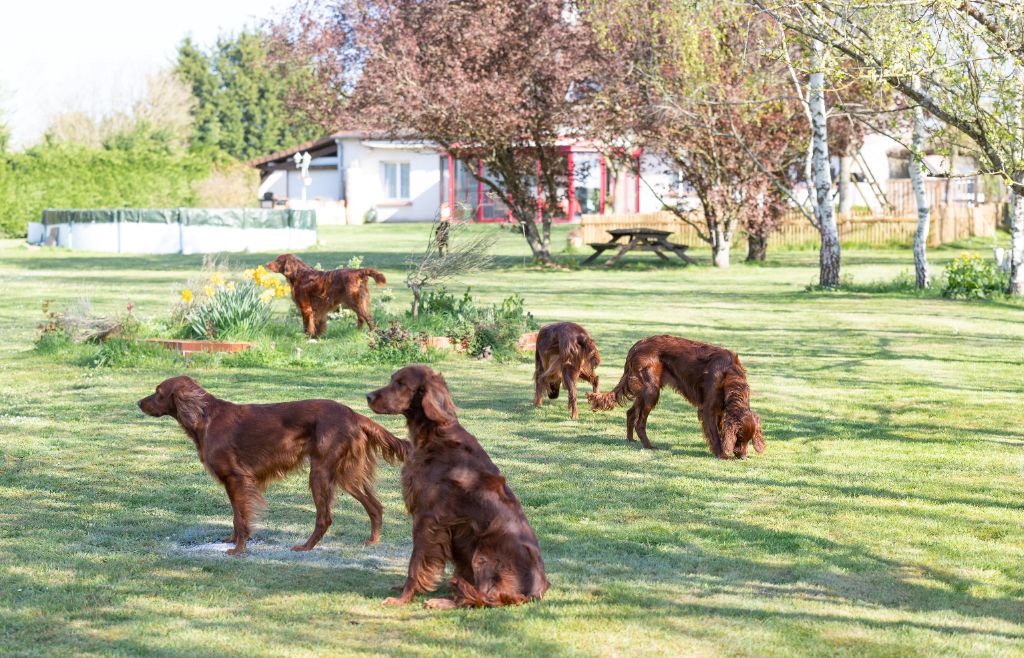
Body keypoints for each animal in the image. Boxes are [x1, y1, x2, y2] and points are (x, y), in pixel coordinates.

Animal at [137, 376, 407, 556]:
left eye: (158, 391)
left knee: (325, 517)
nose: (138, 402)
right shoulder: (235, 481)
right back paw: (372, 542)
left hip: (320, 473)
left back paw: (306, 547)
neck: (205, 418)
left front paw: (238, 549)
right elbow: (235, 516)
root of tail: (353, 414)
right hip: (345, 473)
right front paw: (231, 541)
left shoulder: (236, 478)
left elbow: (241, 517)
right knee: (375, 506)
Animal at [364, 366, 548, 605]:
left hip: (483, 551)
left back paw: (442, 602)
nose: (368, 396)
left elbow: (415, 564)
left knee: (485, 597)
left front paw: (403, 598)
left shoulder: (427, 517)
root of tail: (537, 589)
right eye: (392, 380)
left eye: (401, 384)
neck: (433, 435)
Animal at [589, 335, 765, 458]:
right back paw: (649, 446)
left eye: (749, 439)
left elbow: (721, 430)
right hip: (651, 391)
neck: (728, 374)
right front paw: (721, 454)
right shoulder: (708, 409)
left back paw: (631, 440)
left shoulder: (721, 410)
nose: (743, 457)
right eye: (739, 437)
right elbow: (714, 433)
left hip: (644, 390)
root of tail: (637, 346)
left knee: (630, 412)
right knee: (640, 422)